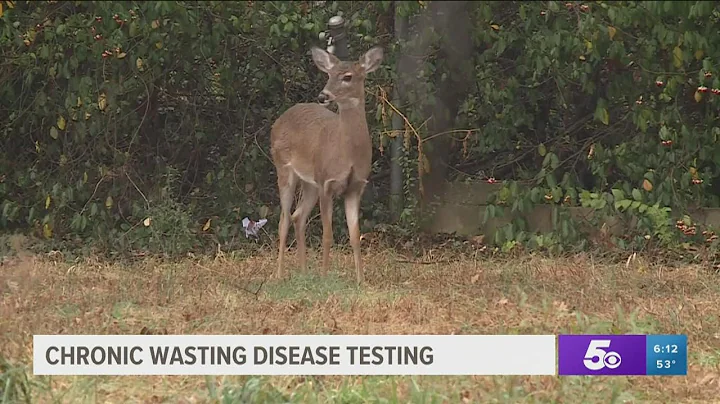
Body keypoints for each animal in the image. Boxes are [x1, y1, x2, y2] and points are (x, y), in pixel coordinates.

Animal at [270, 46, 384, 285]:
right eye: (329, 75)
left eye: (347, 76)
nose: (323, 96)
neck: (348, 154)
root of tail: (278, 121)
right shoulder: (326, 182)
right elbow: (327, 234)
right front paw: (324, 276)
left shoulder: (355, 187)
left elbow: (355, 235)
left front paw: (361, 280)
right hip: (283, 168)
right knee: (284, 220)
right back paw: (279, 275)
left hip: (309, 182)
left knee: (298, 216)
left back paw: (304, 272)